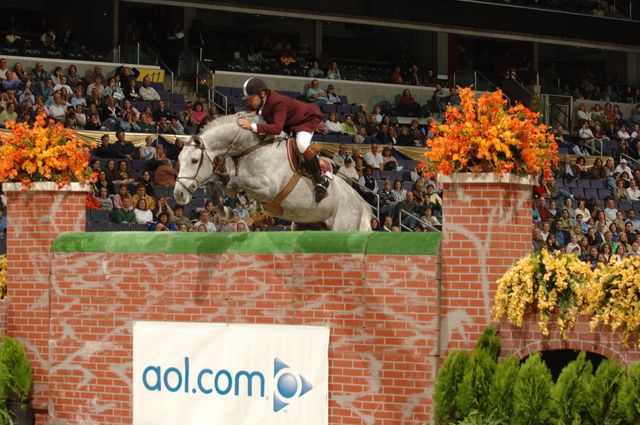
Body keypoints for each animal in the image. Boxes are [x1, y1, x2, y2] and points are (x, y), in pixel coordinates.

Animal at [175, 112, 372, 230]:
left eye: (194, 161)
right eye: (178, 160)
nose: (178, 195)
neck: (248, 148)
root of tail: (361, 202)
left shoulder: (268, 188)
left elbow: (235, 181)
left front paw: (241, 203)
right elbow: (216, 180)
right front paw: (225, 210)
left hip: (343, 225)